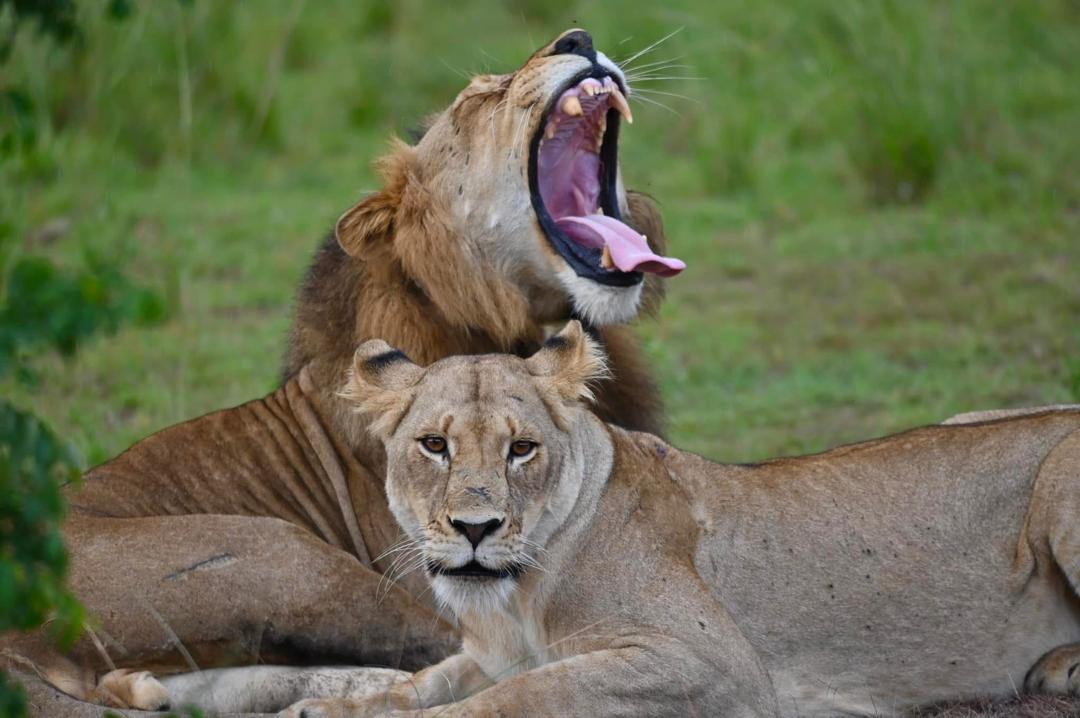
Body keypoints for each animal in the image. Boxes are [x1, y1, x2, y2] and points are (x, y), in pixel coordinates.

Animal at [256, 321, 1079, 717]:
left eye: (522, 449)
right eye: (434, 445)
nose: (476, 530)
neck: (520, 600)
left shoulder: (712, 663)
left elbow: (525, 697)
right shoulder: (488, 652)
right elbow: (424, 682)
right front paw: (332, 710)